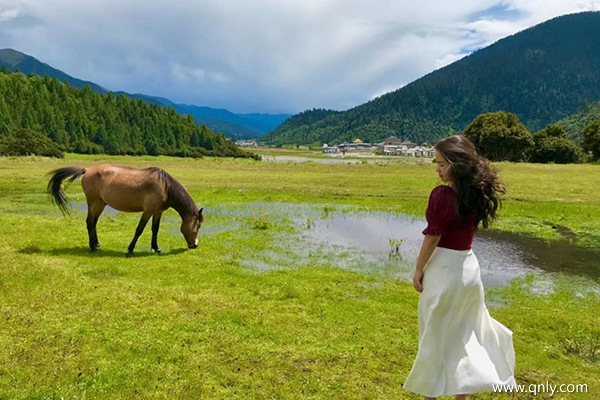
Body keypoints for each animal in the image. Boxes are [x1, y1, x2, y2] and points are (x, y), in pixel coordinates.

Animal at [45, 164, 204, 258]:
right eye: (198, 226)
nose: (195, 245)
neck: (165, 186)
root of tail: (87, 170)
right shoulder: (148, 211)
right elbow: (139, 229)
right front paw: (130, 250)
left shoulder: (157, 212)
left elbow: (155, 229)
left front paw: (156, 248)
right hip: (93, 202)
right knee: (89, 222)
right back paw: (92, 247)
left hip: (101, 203)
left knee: (94, 222)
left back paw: (96, 244)